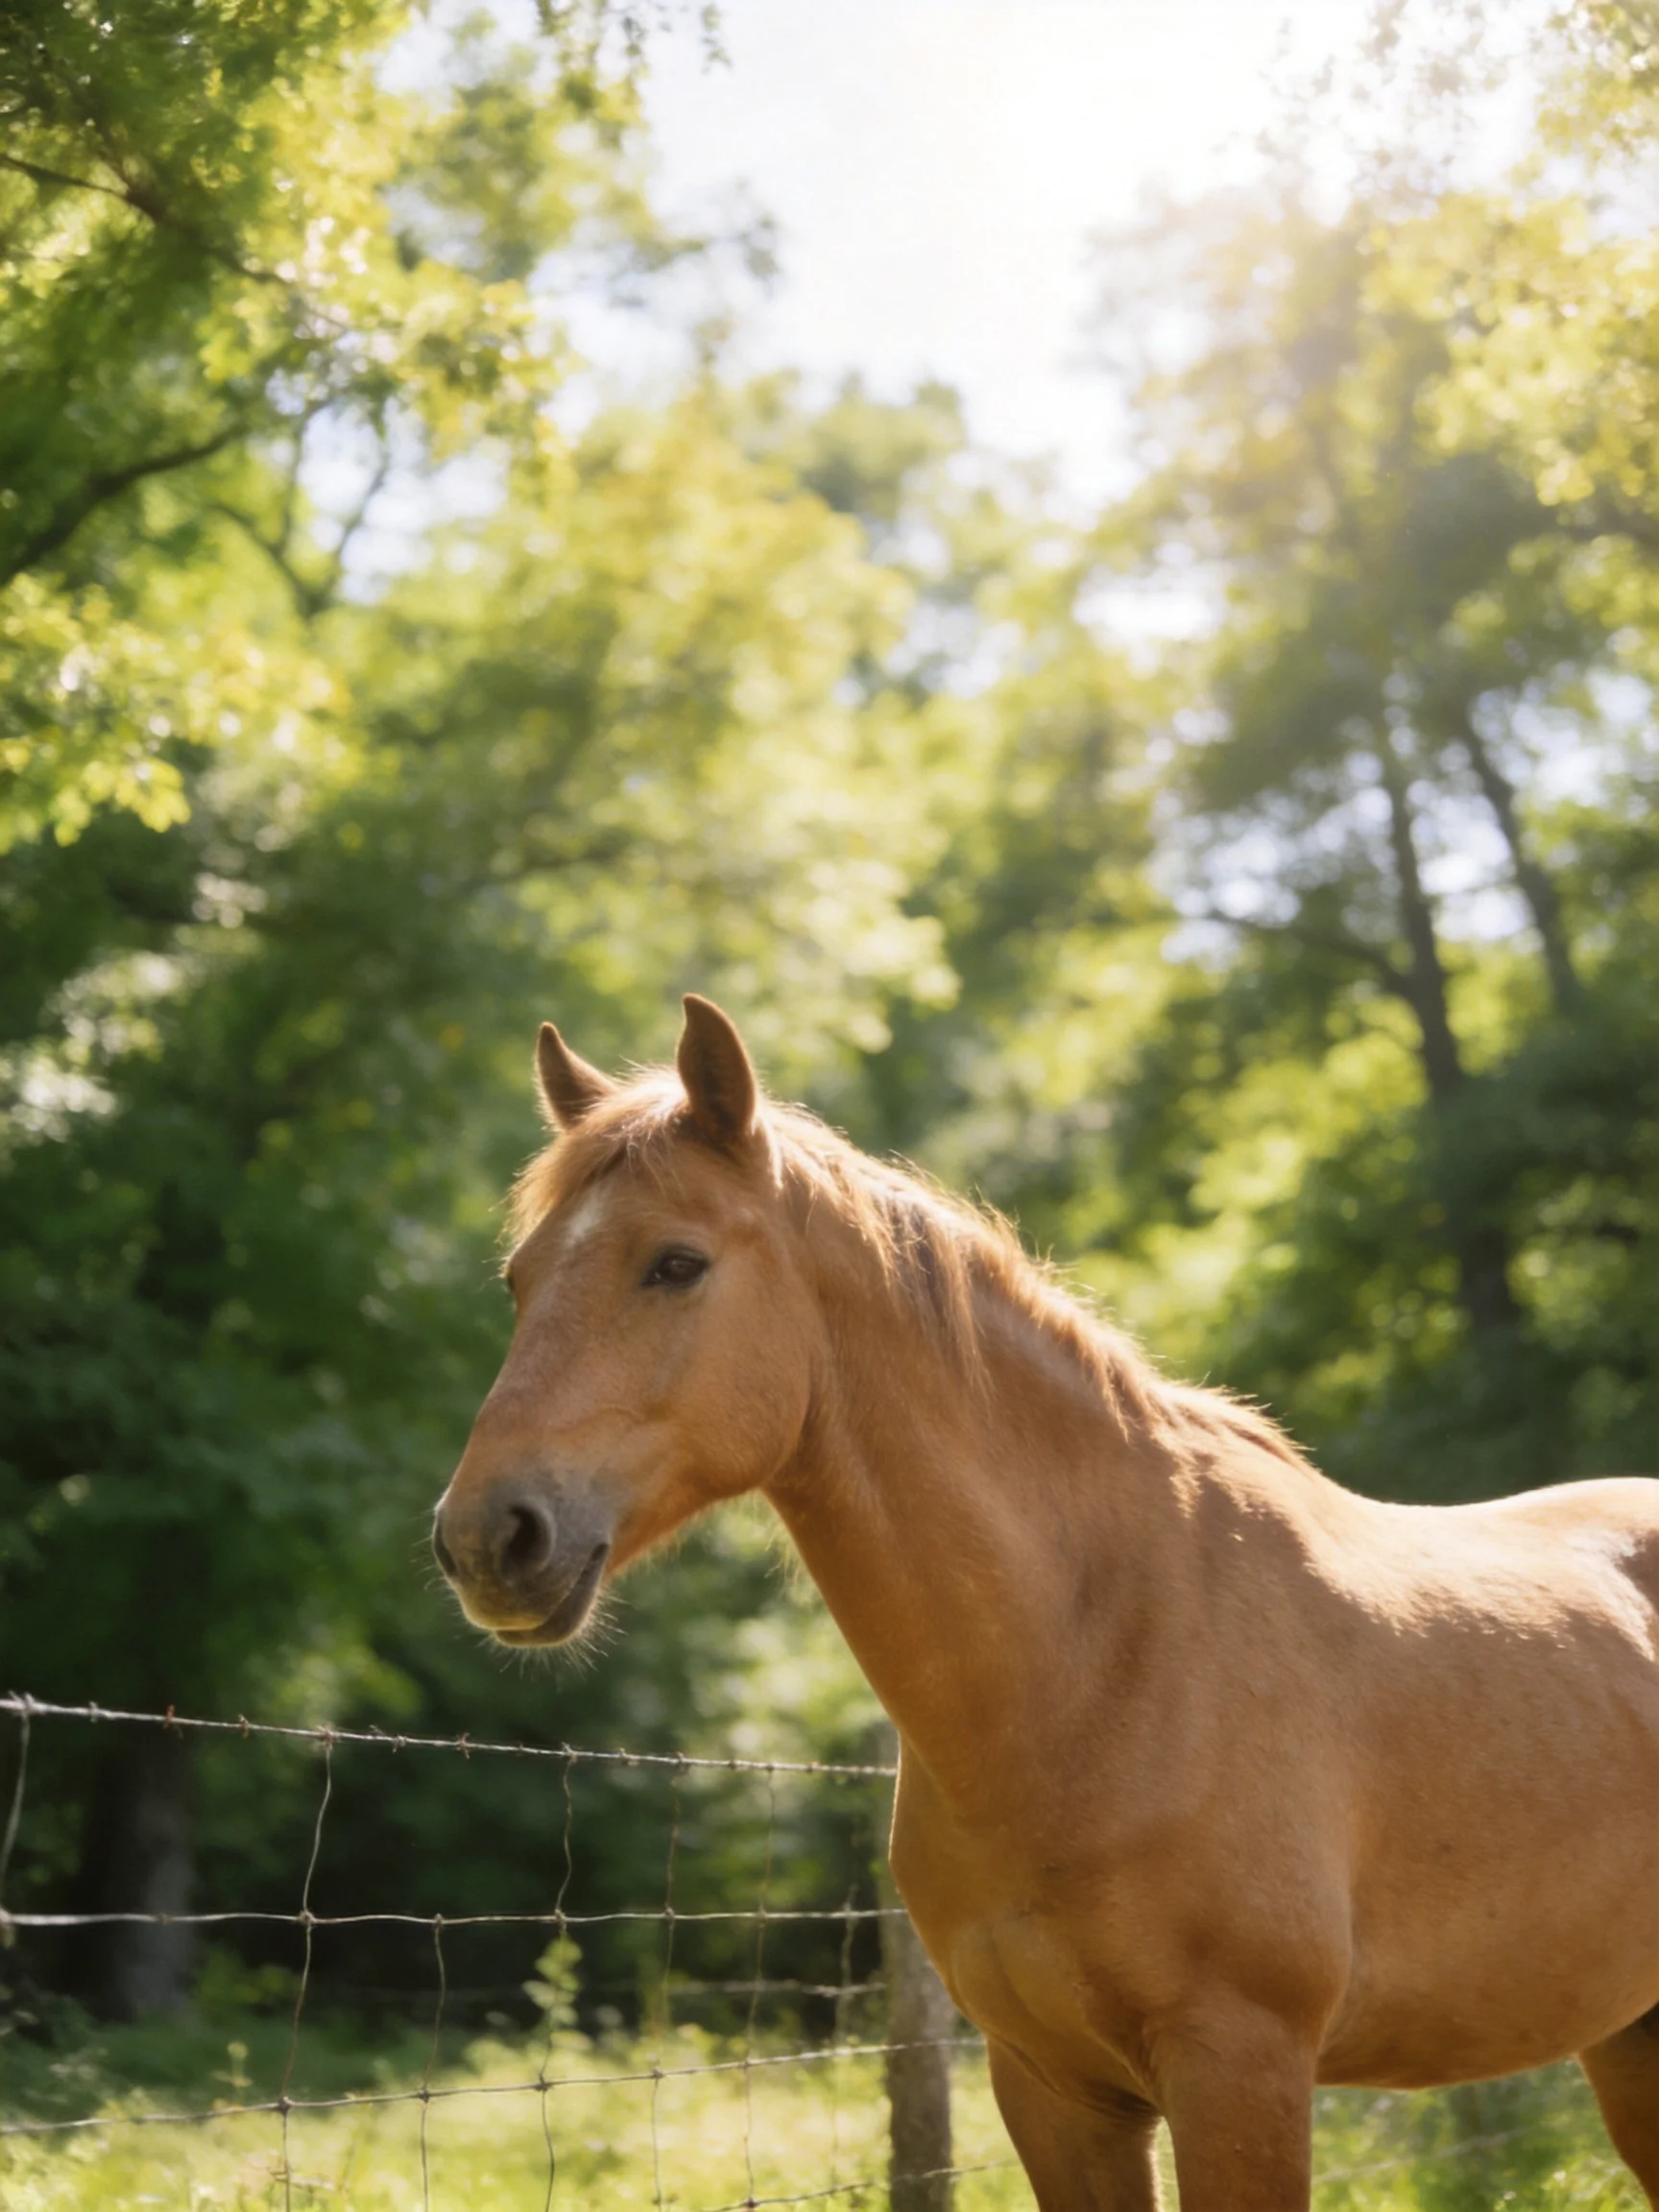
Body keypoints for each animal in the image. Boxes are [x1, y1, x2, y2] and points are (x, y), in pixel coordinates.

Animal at [431, 994, 1659, 2211]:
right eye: (519, 1279)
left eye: (676, 1264)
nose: (486, 1538)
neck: (1098, 1659)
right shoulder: (1053, 2088)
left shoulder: (1241, 2071)